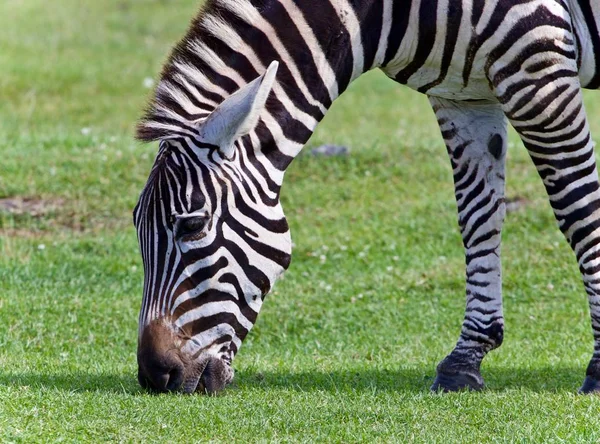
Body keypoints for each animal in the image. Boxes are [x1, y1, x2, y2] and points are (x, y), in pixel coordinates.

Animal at [134, 0, 600, 396]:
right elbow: (478, 218)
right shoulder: (463, 94)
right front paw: (465, 360)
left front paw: (597, 369)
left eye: (193, 224)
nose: (155, 376)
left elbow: (578, 208)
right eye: (137, 226)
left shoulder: (537, 66)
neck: (385, 15)